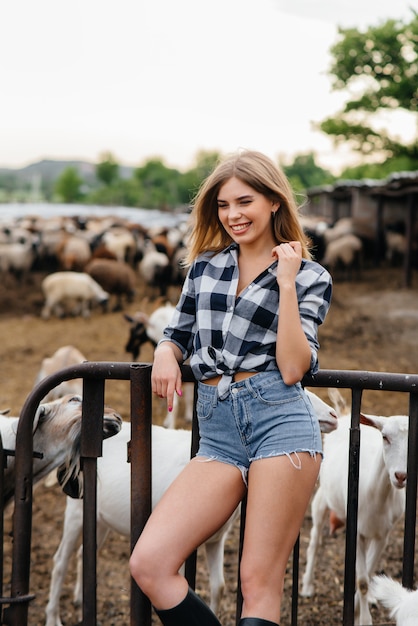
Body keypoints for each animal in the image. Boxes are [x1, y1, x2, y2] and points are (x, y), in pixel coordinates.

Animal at [45, 390, 340, 624]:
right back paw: (54, 618)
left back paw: (80, 599)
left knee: (85, 552)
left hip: (100, 518)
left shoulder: (217, 538)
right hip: (75, 510)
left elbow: (219, 587)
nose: (333, 415)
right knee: (60, 560)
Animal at [300, 410, 408, 624]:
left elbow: (369, 572)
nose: (400, 476)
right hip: (322, 498)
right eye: (385, 437)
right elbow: (362, 580)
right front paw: (364, 619)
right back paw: (307, 586)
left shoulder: (383, 535)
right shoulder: (357, 531)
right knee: (315, 541)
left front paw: (358, 610)